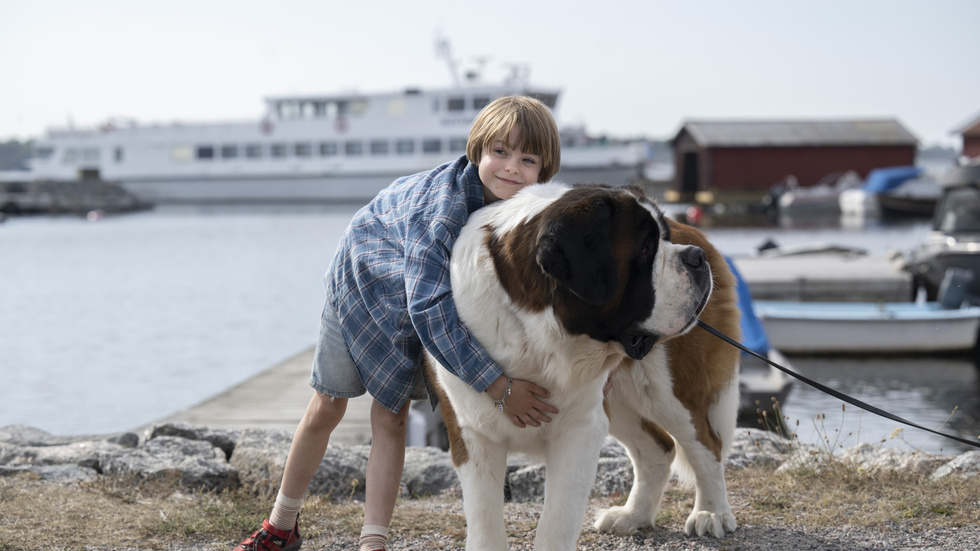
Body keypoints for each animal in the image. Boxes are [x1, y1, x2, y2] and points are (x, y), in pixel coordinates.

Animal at [424, 182, 740, 551]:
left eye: (663, 238)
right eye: (645, 248)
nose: (694, 258)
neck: (537, 331)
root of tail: (696, 232)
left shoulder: (579, 429)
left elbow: (557, 520)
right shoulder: (472, 431)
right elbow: (485, 520)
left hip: (668, 392)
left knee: (705, 444)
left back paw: (711, 513)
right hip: (618, 400)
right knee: (660, 449)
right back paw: (632, 516)